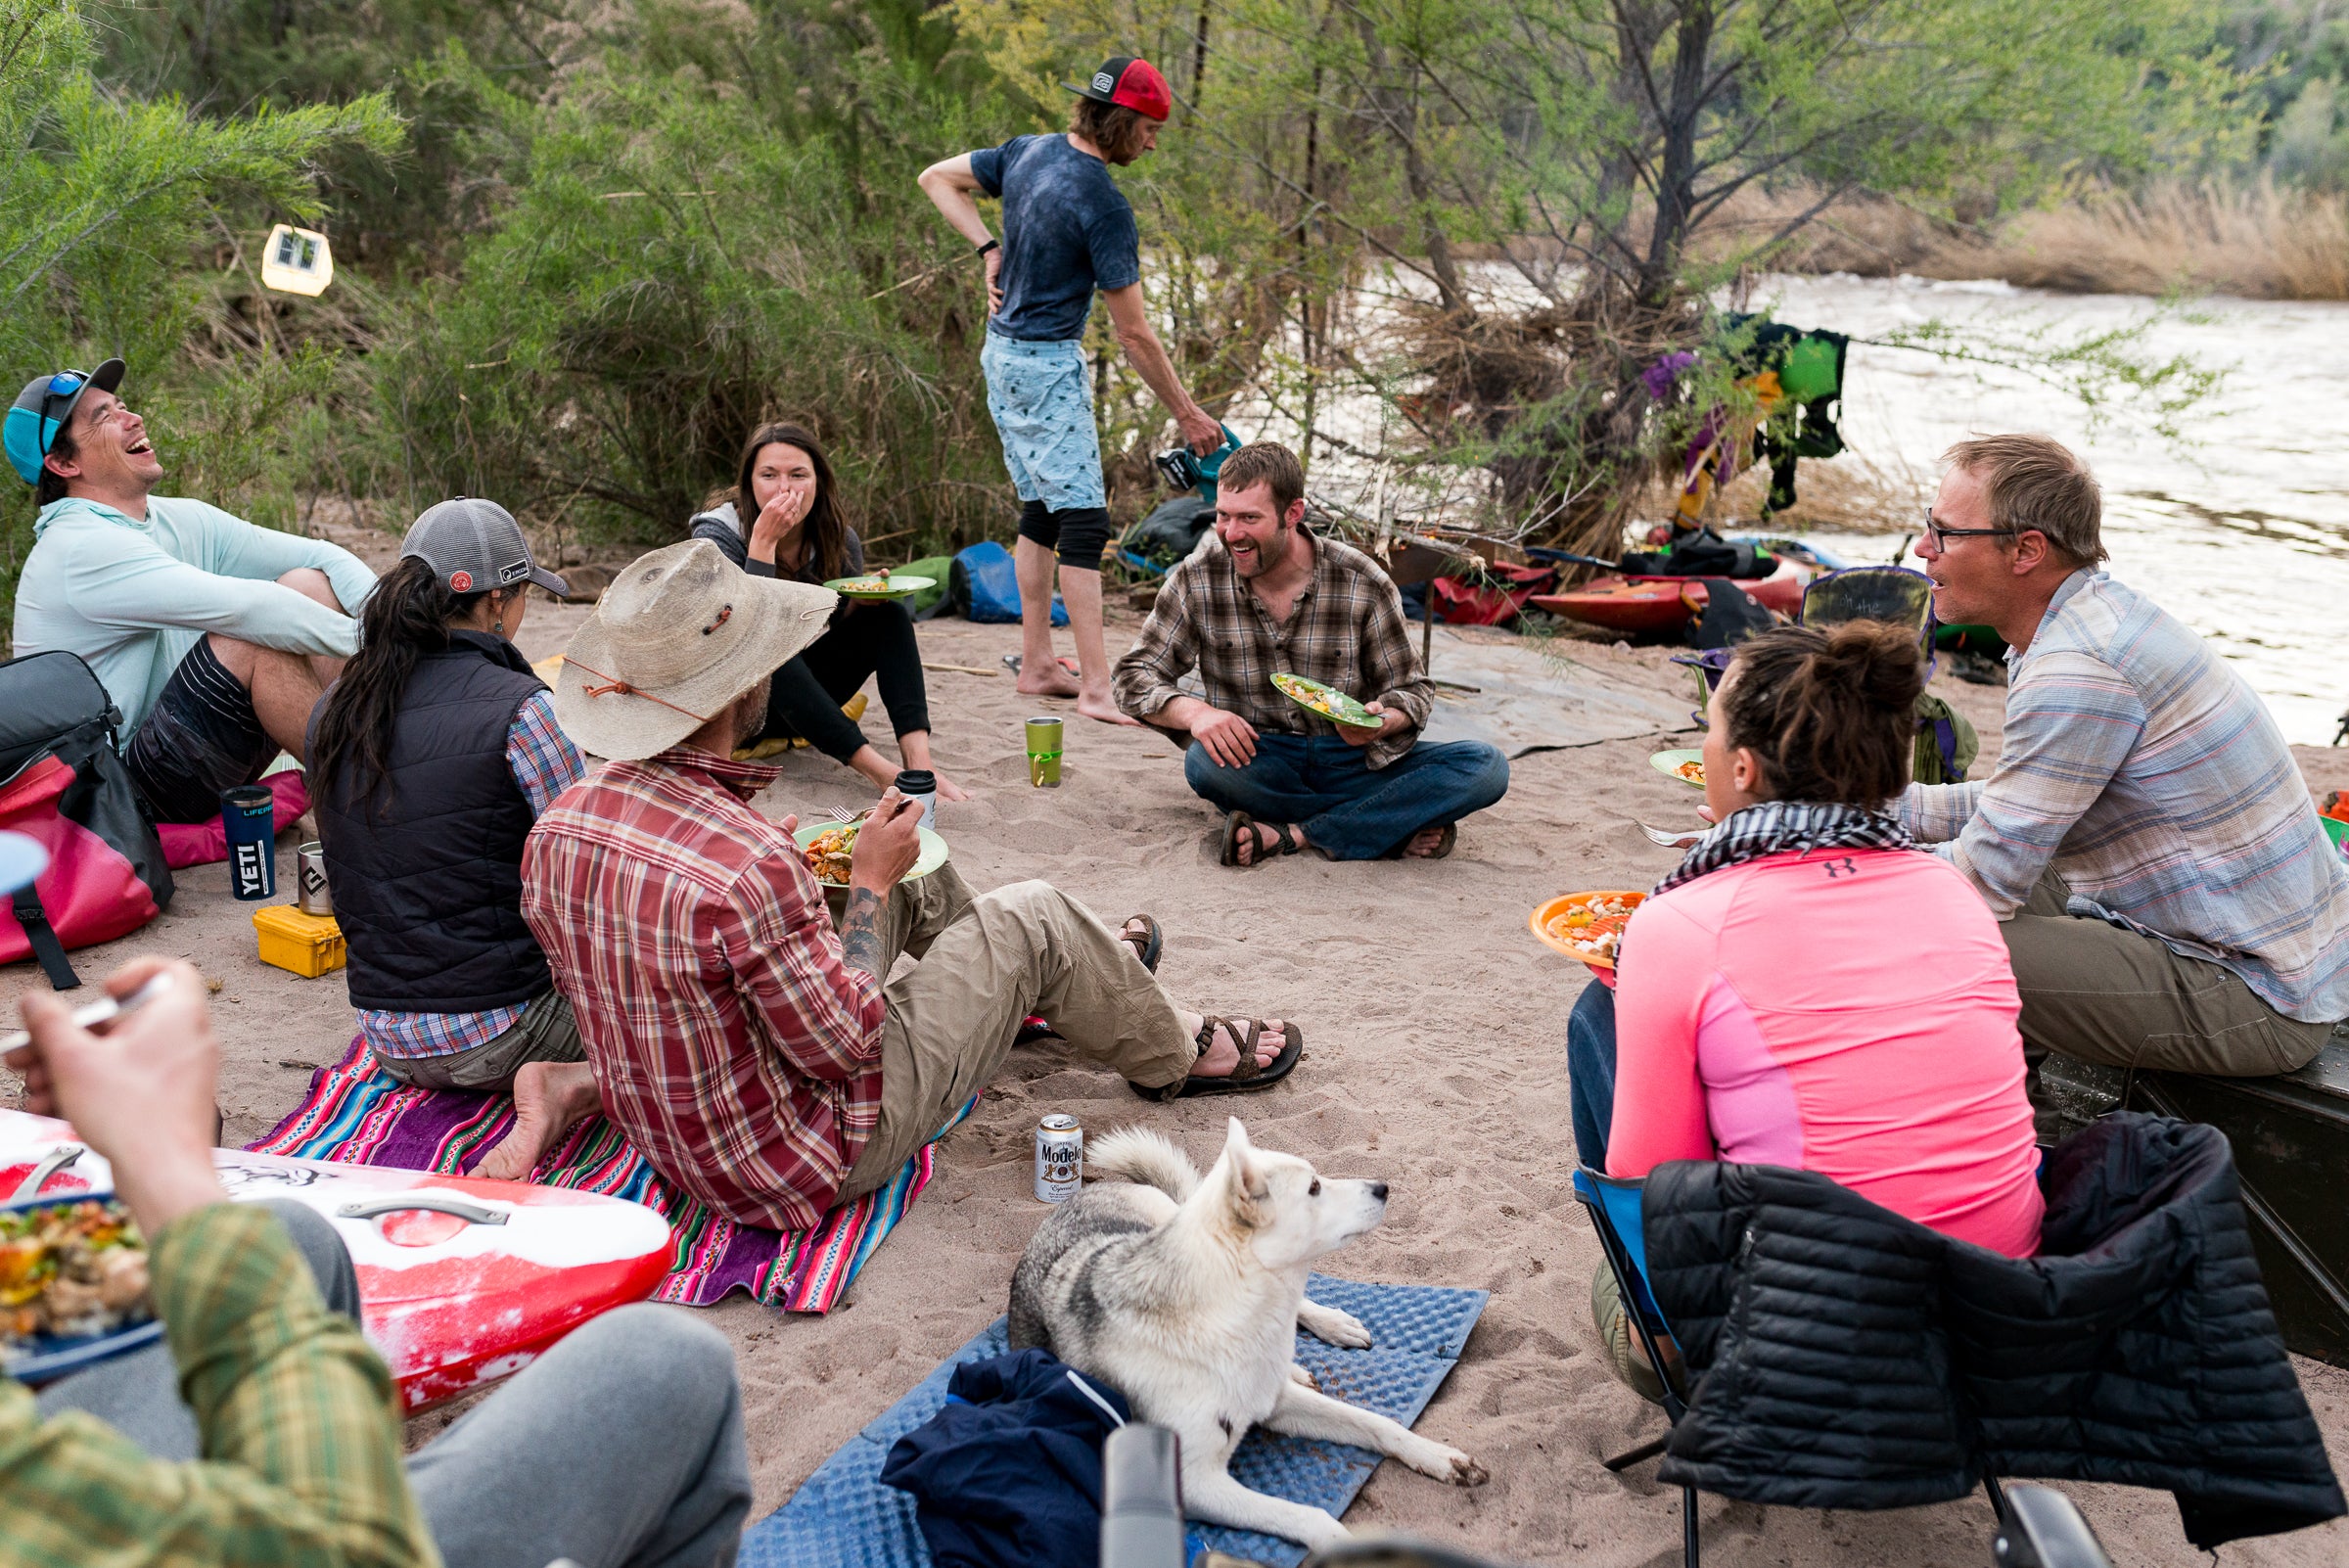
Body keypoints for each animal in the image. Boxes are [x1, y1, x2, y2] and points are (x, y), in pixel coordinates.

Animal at [1000, 1112, 1475, 1540]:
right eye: (1314, 1187)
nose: (1383, 1187)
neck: (1229, 1323)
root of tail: (1091, 1191)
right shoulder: (1194, 1484)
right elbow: (1311, 1517)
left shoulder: (1275, 1402)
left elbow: (1379, 1424)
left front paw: (1438, 1457)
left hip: (1161, 1218)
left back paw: (1330, 1327)